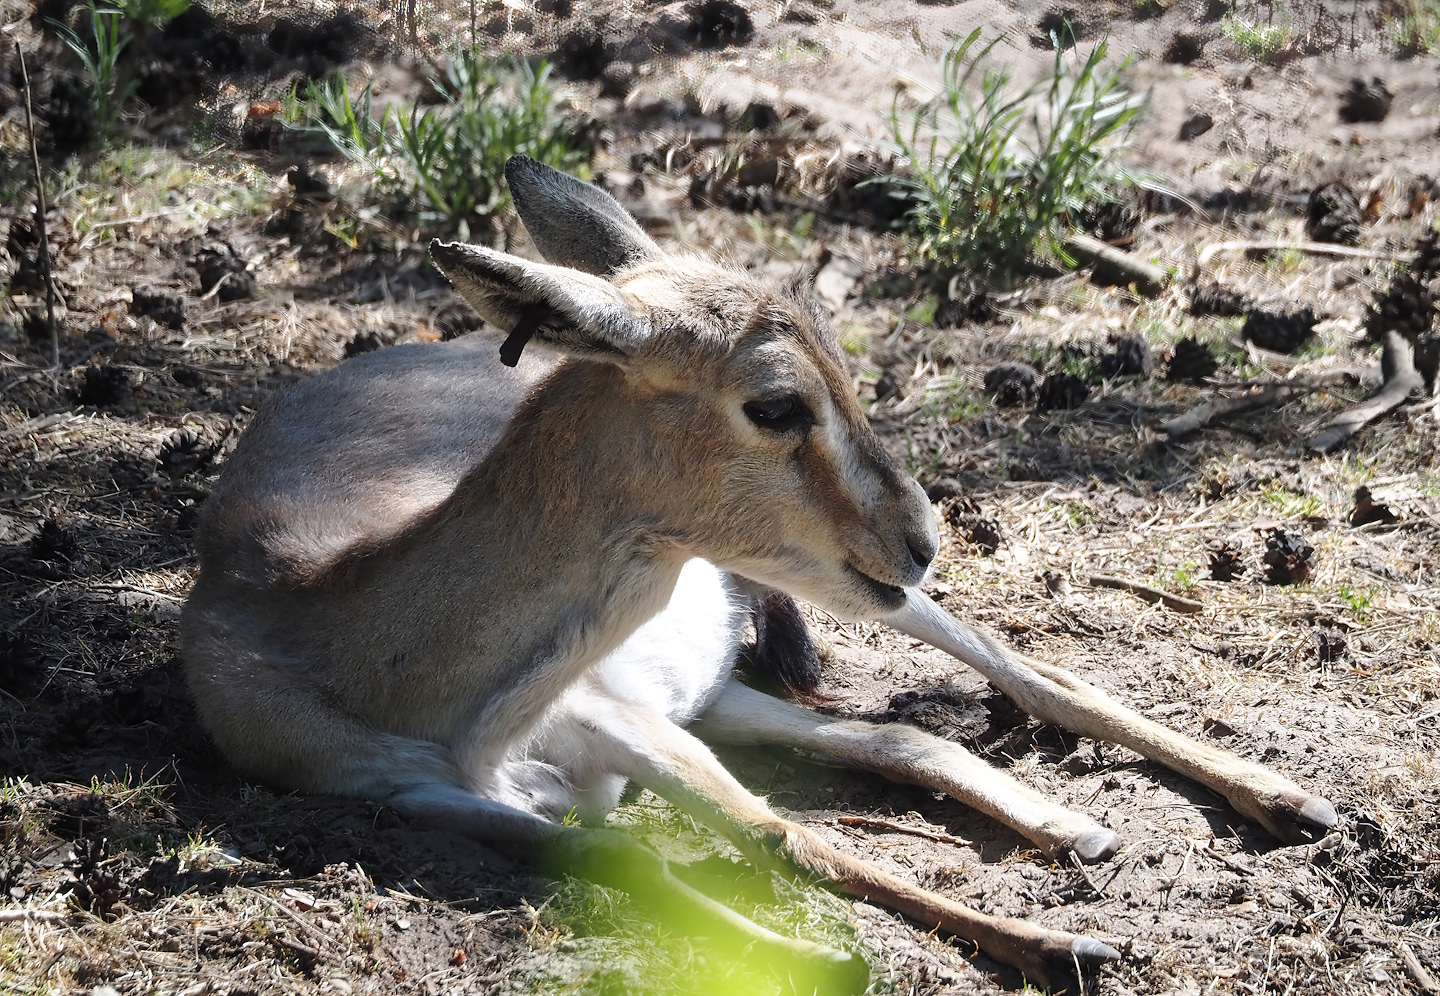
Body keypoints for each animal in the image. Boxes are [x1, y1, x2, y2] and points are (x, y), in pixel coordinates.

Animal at [181, 157, 1337, 992]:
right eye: (777, 402)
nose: (921, 536)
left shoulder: (614, 712)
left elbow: (777, 829)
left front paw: (1061, 947)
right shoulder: (418, 793)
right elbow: (658, 852)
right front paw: (834, 953)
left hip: (838, 615)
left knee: (1027, 674)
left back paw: (1289, 802)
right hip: (744, 668)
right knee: (902, 736)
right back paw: (1080, 830)